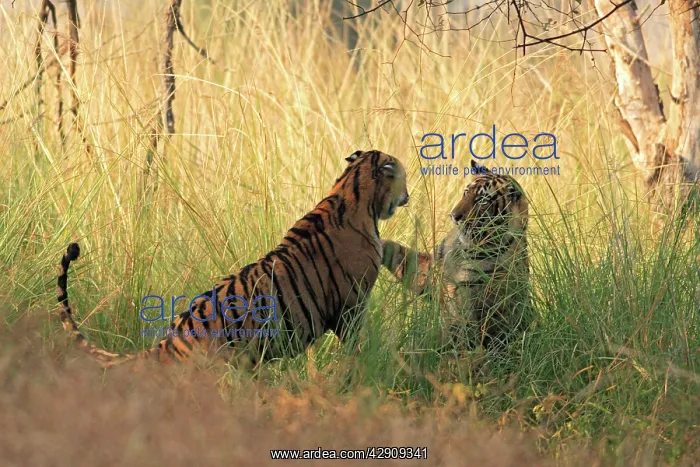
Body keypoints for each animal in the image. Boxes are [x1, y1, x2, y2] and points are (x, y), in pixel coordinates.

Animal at [381, 160, 530, 351]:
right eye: (465, 193)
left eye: (482, 201)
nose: (454, 216)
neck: (463, 248)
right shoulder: (430, 270)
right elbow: (400, 255)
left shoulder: (467, 296)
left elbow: (460, 331)